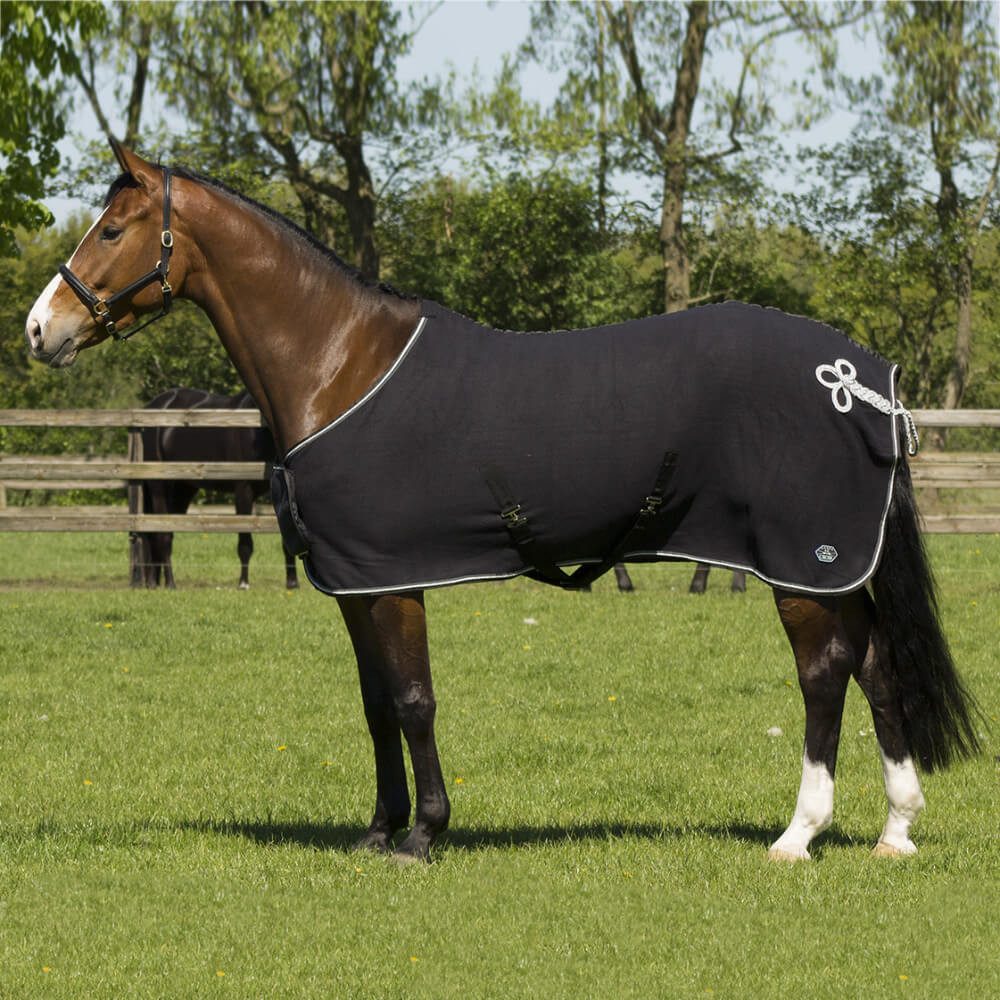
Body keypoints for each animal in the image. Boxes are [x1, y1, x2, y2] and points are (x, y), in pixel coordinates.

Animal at [139, 386, 299, 590]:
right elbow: (245, 543)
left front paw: (292, 582)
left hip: (181, 490)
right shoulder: (243, 490)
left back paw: (153, 582)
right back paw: (169, 583)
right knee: (161, 533)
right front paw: (243, 583)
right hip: (158, 485)